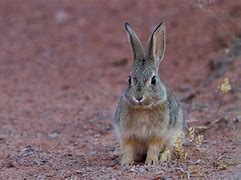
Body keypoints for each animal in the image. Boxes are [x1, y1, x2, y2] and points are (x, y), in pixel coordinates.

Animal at [113, 22, 185, 166]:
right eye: (129, 79)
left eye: (154, 80)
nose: (138, 97)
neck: (143, 108)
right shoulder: (126, 134)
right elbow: (128, 148)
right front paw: (126, 162)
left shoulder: (158, 134)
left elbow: (153, 147)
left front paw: (151, 161)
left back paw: (164, 158)